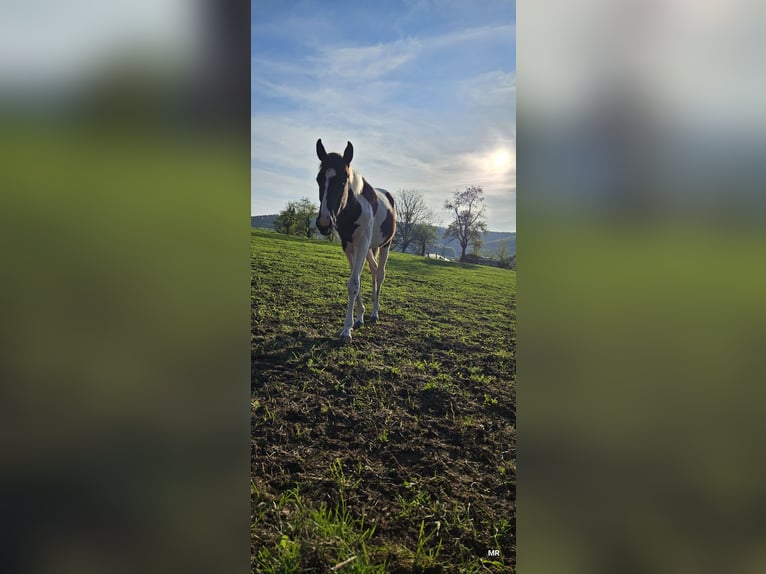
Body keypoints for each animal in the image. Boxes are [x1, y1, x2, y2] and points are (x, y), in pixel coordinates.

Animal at [315, 139, 397, 343]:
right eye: (319, 179)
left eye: (344, 180)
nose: (324, 223)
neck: (353, 208)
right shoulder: (348, 245)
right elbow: (356, 281)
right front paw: (358, 318)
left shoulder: (362, 243)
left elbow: (354, 283)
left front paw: (346, 331)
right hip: (369, 248)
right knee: (373, 270)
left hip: (384, 245)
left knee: (380, 273)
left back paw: (375, 313)